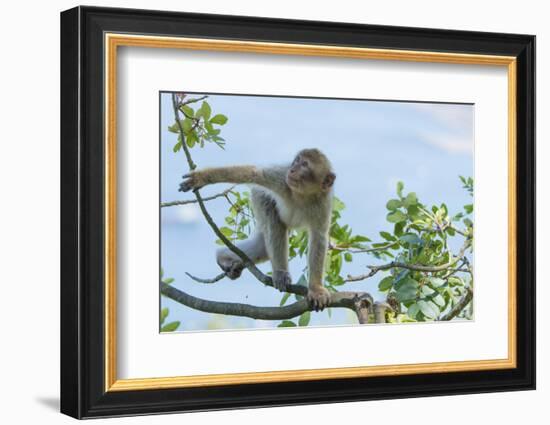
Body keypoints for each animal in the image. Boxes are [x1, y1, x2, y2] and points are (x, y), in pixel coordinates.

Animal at [181, 147, 336, 310]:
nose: (292, 169)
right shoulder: (281, 180)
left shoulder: (323, 203)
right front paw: (201, 177)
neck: (302, 195)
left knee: (262, 248)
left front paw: (316, 289)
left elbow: (319, 237)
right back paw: (279, 272)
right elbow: (254, 173)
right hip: (259, 196)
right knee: (273, 220)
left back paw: (224, 257)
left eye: (304, 164)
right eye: (296, 161)